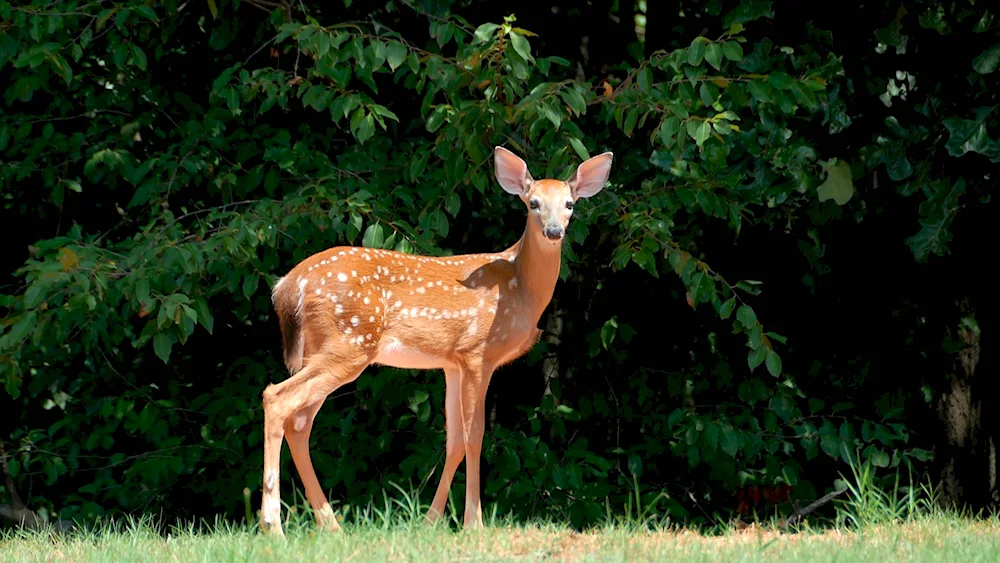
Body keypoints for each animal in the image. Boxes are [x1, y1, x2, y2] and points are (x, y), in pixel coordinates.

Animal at [262, 143, 612, 536]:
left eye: (569, 204)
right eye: (533, 203)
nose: (553, 231)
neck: (521, 289)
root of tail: (288, 285)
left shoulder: (452, 363)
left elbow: (455, 440)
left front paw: (431, 521)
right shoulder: (478, 353)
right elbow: (476, 435)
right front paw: (474, 523)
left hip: (325, 348)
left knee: (299, 422)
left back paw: (330, 525)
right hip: (349, 342)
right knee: (277, 398)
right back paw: (273, 525)